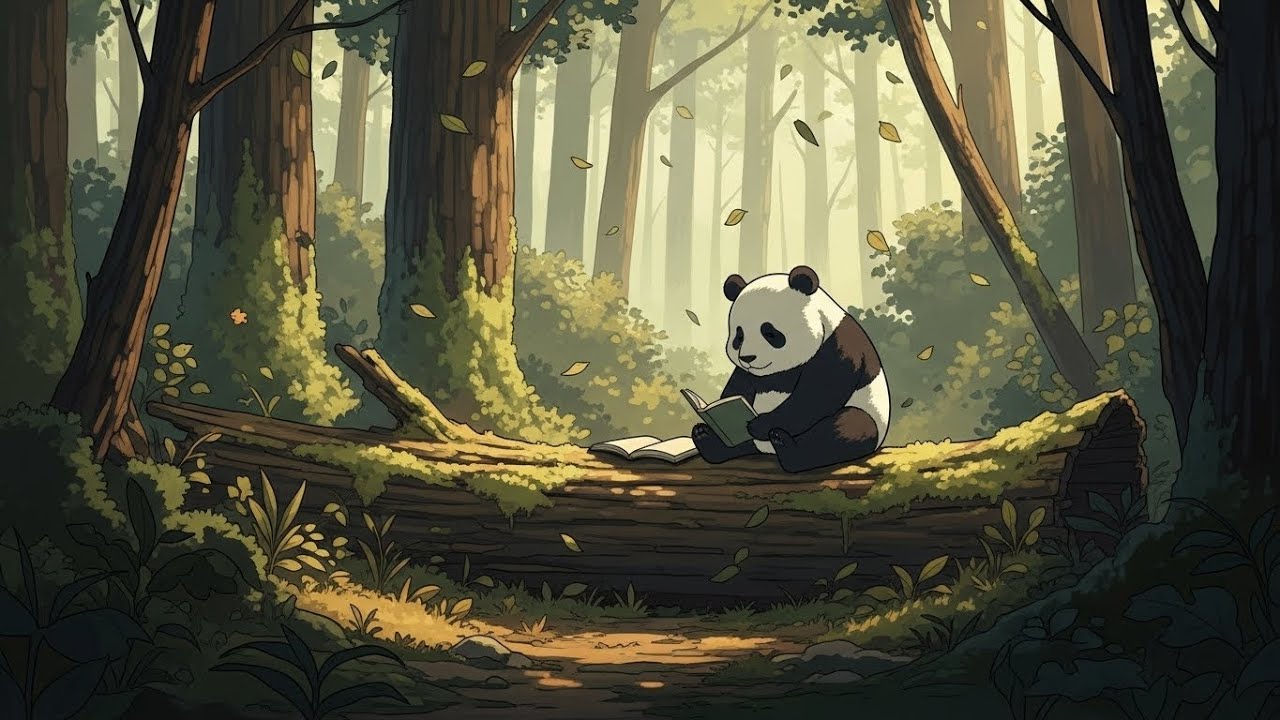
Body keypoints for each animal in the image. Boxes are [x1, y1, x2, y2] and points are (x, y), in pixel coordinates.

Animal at [691, 265, 891, 473]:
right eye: (739, 336)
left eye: (769, 333)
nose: (747, 358)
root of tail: (766, 450)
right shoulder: (748, 372)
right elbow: (739, 386)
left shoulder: (839, 347)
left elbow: (817, 395)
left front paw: (759, 425)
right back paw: (707, 438)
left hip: (866, 418)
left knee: (845, 429)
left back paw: (786, 447)